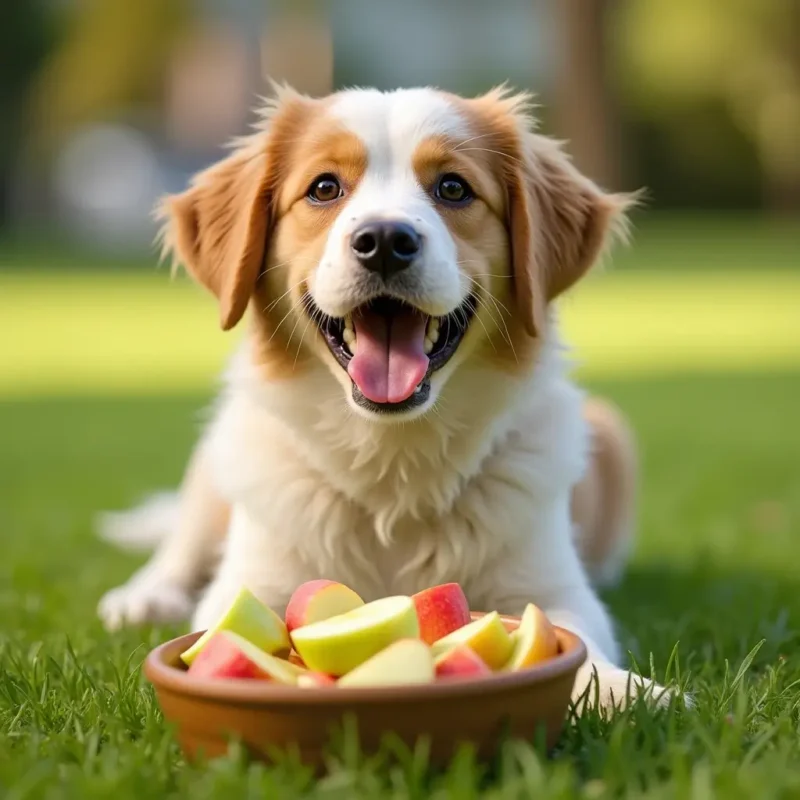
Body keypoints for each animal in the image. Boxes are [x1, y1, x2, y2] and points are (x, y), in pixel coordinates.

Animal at [95, 86, 668, 712]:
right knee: (179, 545)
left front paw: (624, 690)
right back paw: (144, 596)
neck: (392, 463)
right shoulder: (249, 582)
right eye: (324, 187)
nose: (386, 242)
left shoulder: (551, 586)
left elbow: (572, 637)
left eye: (453, 188)